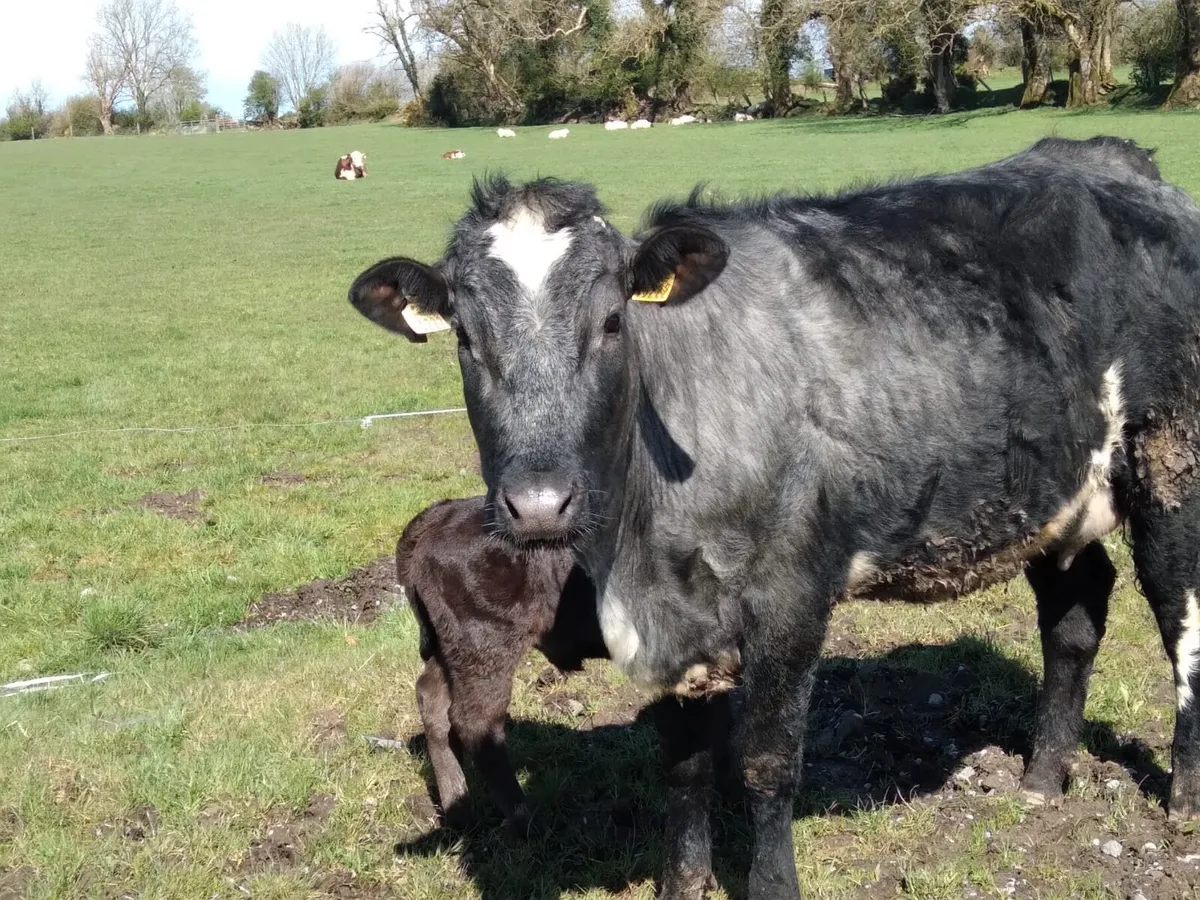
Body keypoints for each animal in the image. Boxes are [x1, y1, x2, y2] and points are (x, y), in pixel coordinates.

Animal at [398, 496, 608, 832]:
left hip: (453, 653)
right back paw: (524, 819)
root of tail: (446, 511)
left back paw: (460, 813)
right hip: (488, 649)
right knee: (477, 721)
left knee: (432, 699)